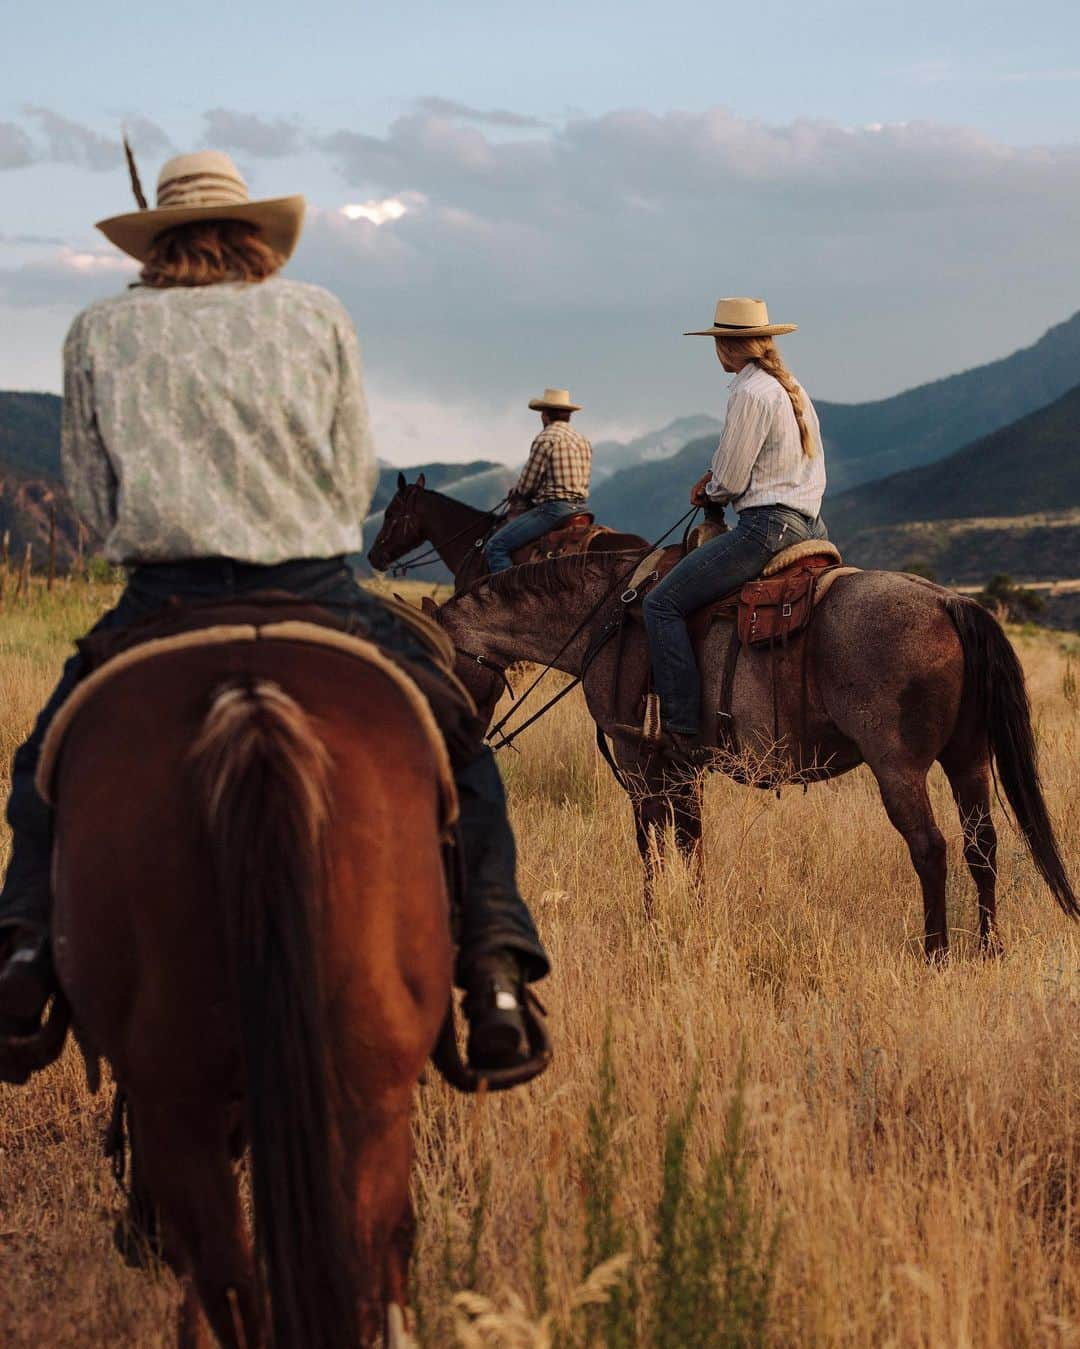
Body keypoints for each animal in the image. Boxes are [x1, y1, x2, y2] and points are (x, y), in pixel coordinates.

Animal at [434, 550, 1073, 960]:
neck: (604, 619)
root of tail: (948, 602)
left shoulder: (638, 760)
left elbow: (651, 846)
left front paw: (652, 922)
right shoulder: (682, 766)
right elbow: (689, 843)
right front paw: (692, 912)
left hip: (900, 768)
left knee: (930, 848)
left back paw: (936, 951)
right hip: (968, 760)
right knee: (981, 844)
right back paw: (989, 948)